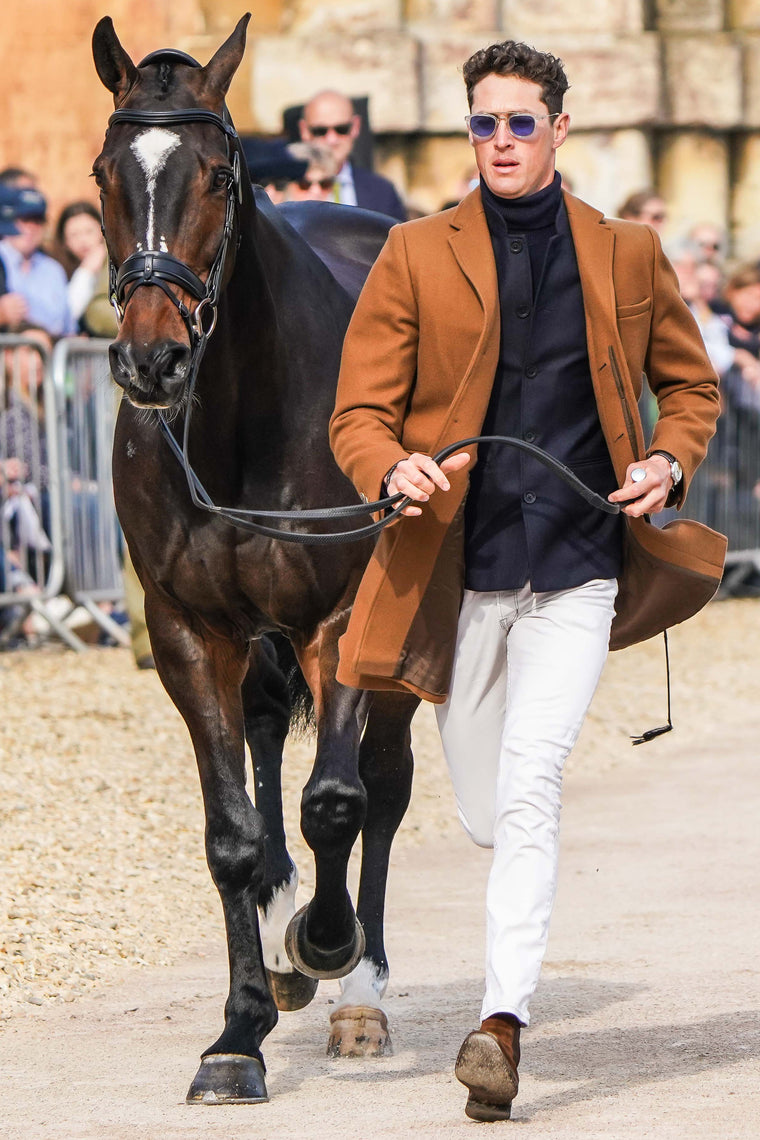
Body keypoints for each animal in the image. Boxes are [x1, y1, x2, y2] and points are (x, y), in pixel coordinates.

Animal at [93, 11, 421, 1103]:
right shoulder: (189, 630)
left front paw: (325, 942)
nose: (151, 358)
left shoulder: (350, 614)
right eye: (106, 171)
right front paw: (237, 1032)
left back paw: (358, 985)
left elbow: (340, 801)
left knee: (383, 787)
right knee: (275, 732)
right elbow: (233, 834)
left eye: (215, 175)